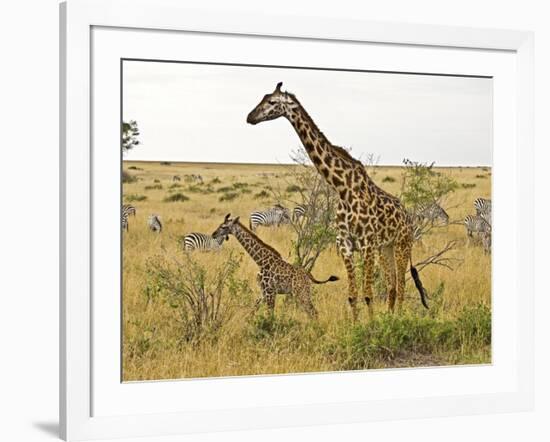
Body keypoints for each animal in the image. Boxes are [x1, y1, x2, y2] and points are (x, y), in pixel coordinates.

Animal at [247, 83, 432, 318]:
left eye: (271, 101)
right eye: (263, 97)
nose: (250, 117)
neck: (342, 187)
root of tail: (408, 217)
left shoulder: (366, 244)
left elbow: (368, 294)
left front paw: (371, 326)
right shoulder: (345, 244)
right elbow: (353, 295)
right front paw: (358, 324)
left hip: (402, 244)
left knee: (401, 286)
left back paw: (397, 319)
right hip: (386, 248)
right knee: (391, 286)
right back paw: (390, 319)